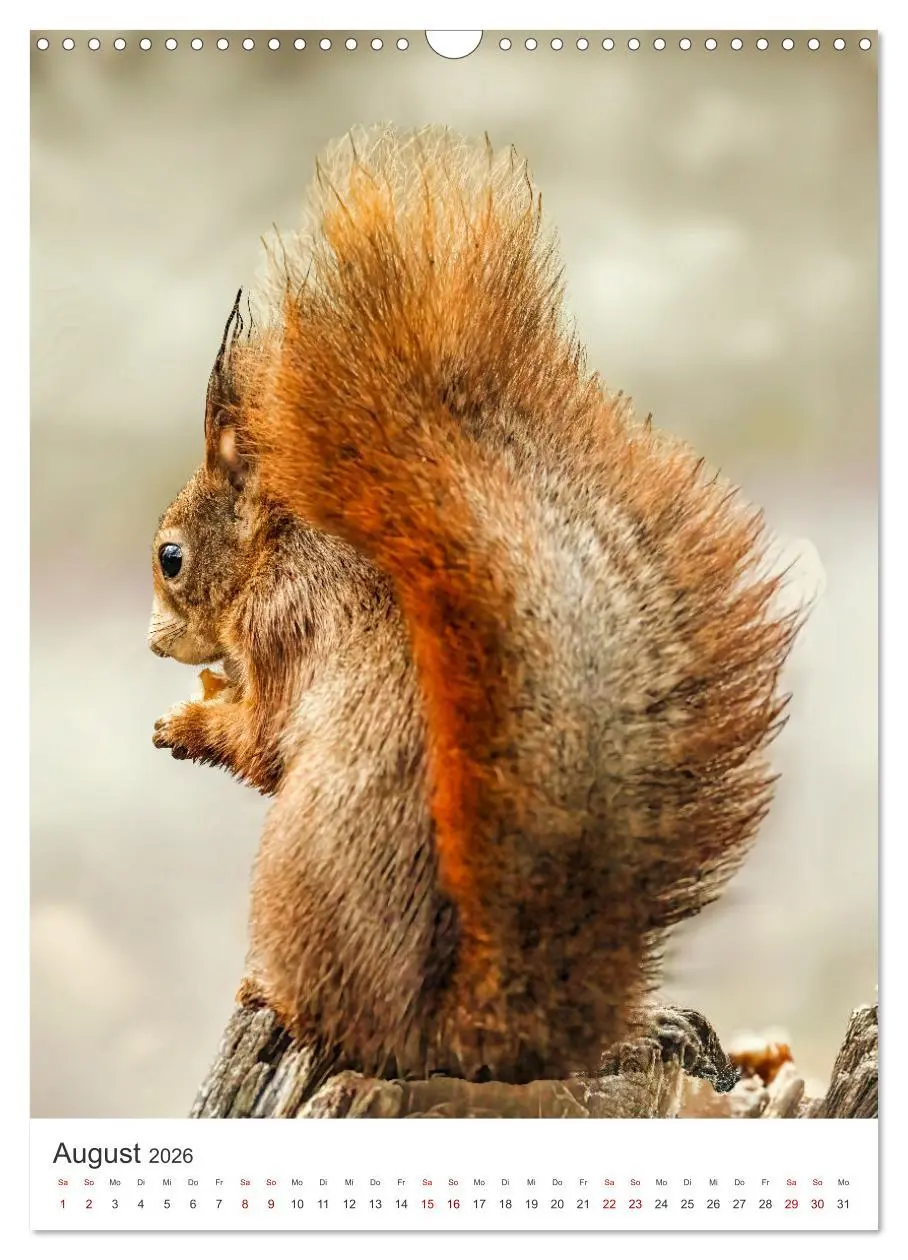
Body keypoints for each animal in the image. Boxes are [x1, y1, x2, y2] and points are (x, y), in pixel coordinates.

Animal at [148, 126, 801, 1085]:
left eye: (172, 558)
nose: (155, 642)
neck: (277, 553)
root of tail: (451, 1036)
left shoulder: (287, 628)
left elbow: (262, 741)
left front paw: (189, 723)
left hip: (298, 881)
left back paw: (274, 995)